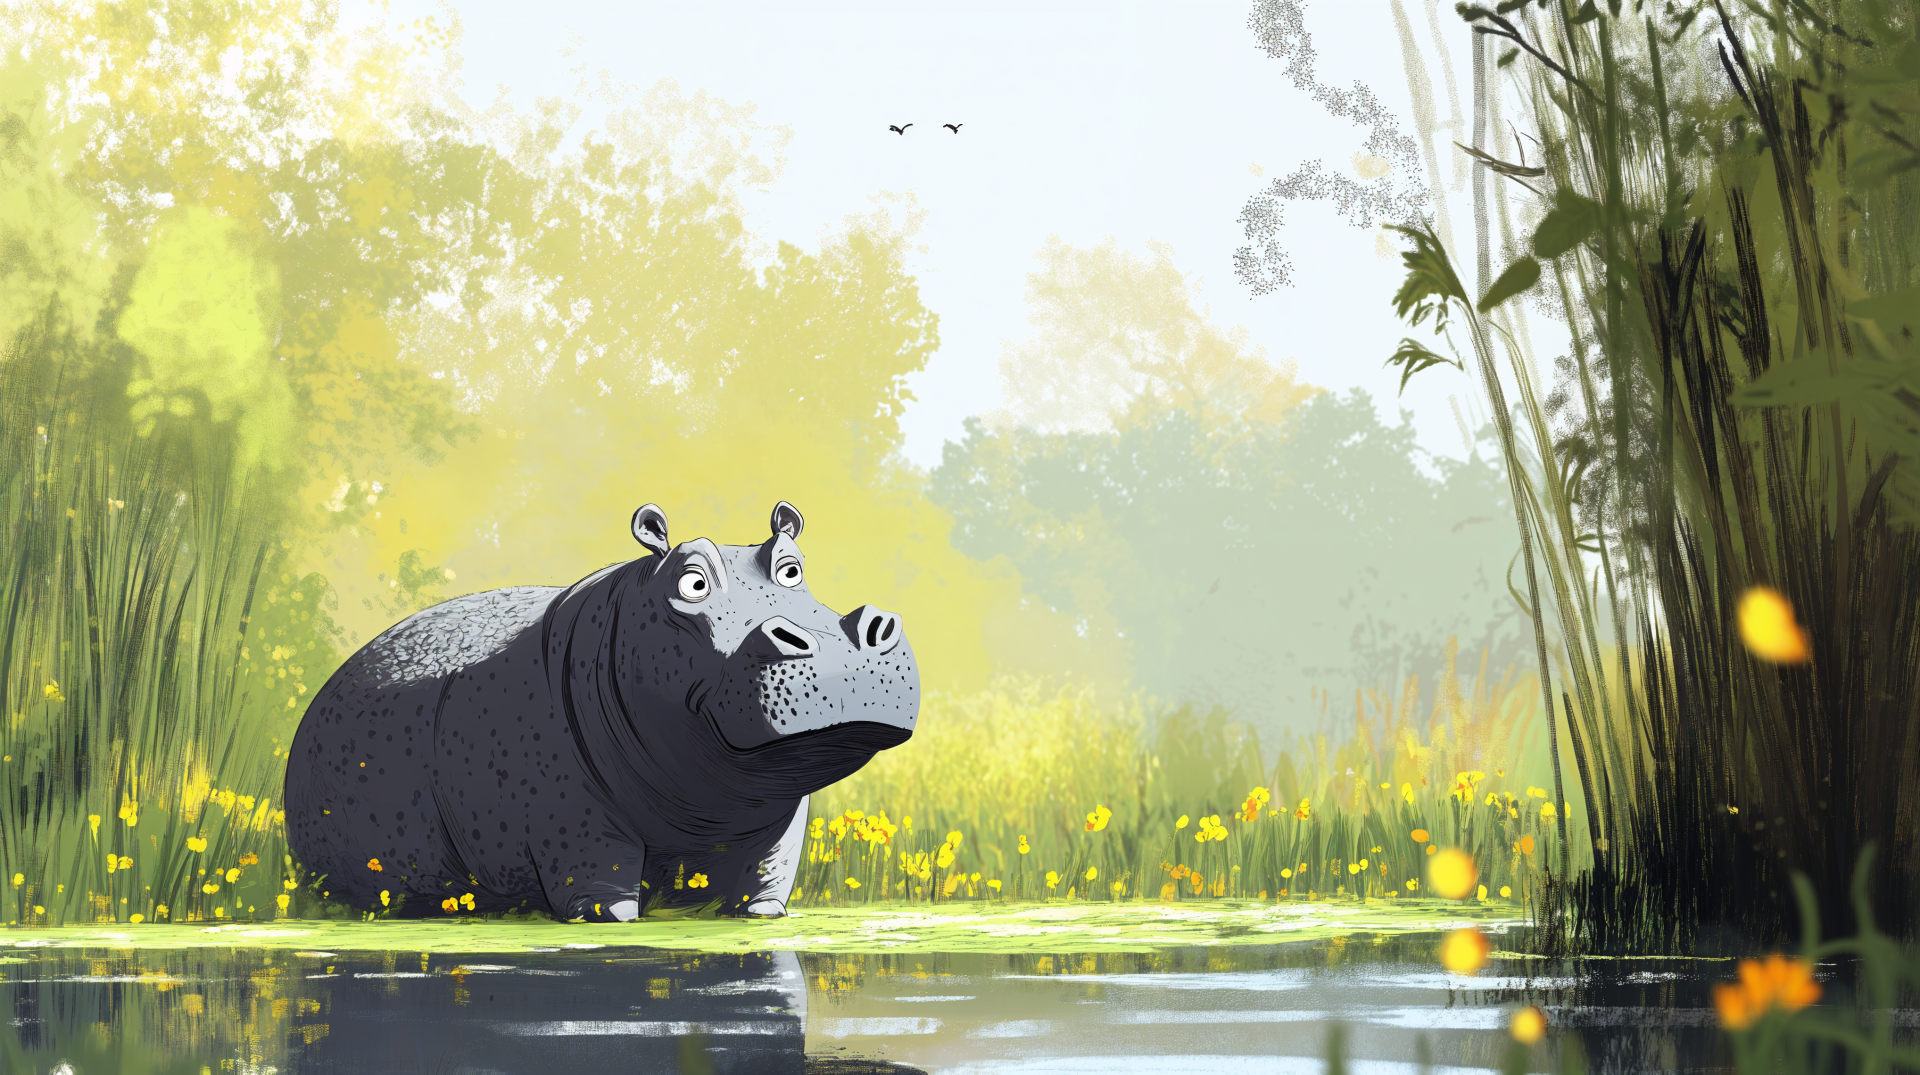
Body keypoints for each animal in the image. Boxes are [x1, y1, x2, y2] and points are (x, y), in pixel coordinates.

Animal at [283, 501, 918, 921]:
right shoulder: (572, 817)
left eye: (793, 567)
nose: (843, 642)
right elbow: (603, 894)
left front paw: (762, 917)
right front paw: (612, 919)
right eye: (691, 582)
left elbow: (763, 887)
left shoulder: (777, 818)